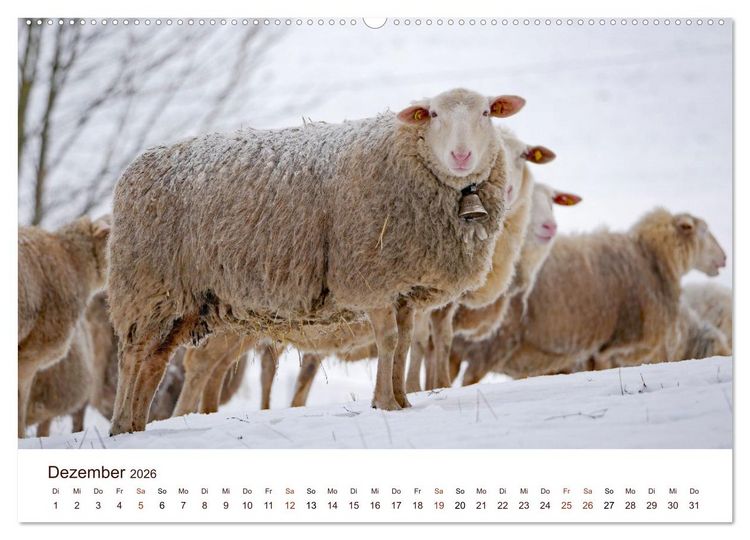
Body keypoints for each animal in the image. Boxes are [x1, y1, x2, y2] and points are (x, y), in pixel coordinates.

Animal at [108, 88, 524, 434]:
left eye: (486, 112)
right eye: (434, 114)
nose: (461, 156)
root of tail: (134, 168)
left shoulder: (403, 288)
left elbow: (404, 343)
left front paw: (402, 400)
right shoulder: (368, 277)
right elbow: (388, 340)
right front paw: (384, 403)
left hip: (181, 302)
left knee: (154, 362)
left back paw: (137, 425)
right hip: (144, 287)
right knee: (132, 358)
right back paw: (120, 426)